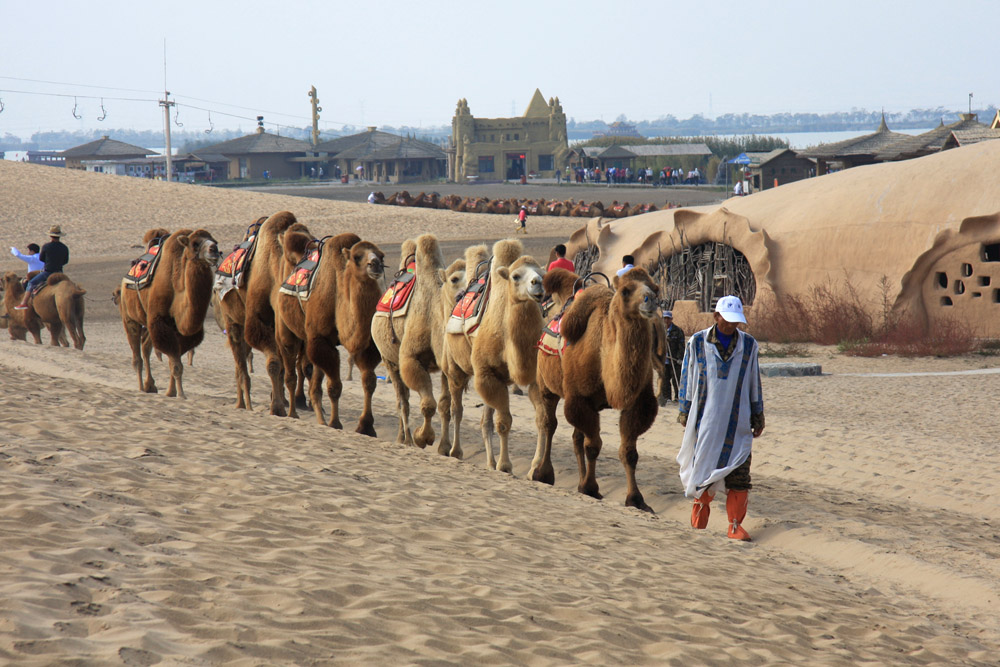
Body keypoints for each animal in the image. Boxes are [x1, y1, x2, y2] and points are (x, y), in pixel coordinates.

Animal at [120, 230, 220, 396]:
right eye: (195, 244)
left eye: (215, 241)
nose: (214, 250)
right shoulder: (160, 322)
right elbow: (176, 365)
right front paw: (181, 395)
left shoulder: (180, 331)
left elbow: (174, 360)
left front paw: (171, 392)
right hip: (129, 316)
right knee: (137, 356)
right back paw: (141, 388)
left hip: (148, 322)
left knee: (146, 347)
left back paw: (150, 385)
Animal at [278, 232, 386, 436]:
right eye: (357, 257)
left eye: (381, 255)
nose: (375, 264)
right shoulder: (321, 339)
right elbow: (334, 386)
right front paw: (335, 423)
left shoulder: (366, 344)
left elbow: (369, 382)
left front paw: (366, 427)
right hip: (287, 329)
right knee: (290, 370)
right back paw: (291, 413)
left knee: (313, 382)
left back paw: (319, 418)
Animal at [442, 237, 544, 472]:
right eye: (516, 276)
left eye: (542, 272)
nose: (538, 283)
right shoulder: (487, 373)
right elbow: (504, 421)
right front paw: (505, 465)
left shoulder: (532, 377)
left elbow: (541, 420)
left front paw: (537, 468)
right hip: (454, 366)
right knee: (457, 408)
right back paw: (455, 451)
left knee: (484, 419)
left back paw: (488, 462)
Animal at [564, 266, 664, 512]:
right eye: (626, 290)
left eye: (655, 288)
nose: (651, 300)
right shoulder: (580, 399)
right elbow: (593, 445)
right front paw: (590, 488)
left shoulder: (638, 403)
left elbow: (629, 452)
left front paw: (636, 499)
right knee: (545, 423)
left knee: (575, 437)